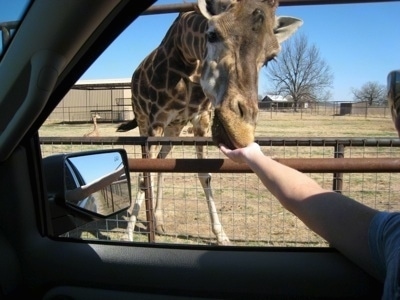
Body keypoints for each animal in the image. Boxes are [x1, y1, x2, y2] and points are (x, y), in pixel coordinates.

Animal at [117, 0, 302, 245]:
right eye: (212, 35)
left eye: (271, 56)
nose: (241, 121)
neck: (187, 53)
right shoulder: (156, 120)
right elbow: (142, 174)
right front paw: (127, 234)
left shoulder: (201, 120)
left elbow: (204, 174)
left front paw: (221, 235)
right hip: (144, 121)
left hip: (175, 128)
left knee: (162, 162)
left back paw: (159, 222)